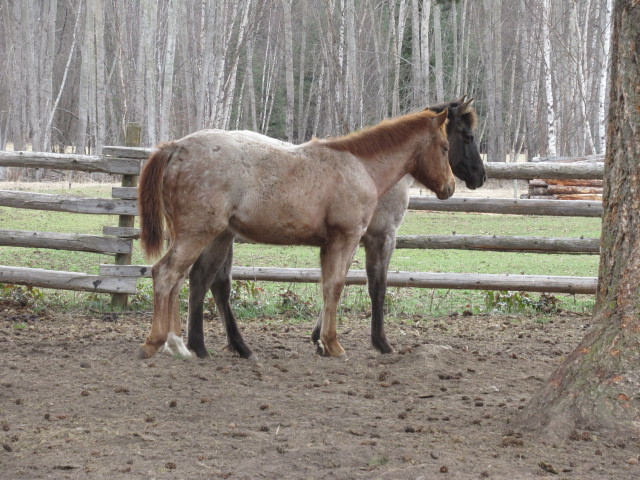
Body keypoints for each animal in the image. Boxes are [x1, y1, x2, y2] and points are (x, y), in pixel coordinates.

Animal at [139, 107, 456, 358]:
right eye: (445, 147)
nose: (450, 187)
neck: (360, 166)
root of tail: (176, 147)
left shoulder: (331, 244)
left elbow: (327, 287)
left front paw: (323, 343)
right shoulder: (348, 238)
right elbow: (336, 286)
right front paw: (334, 344)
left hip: (200, 235)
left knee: (182, 279)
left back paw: (181, 346)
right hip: (198, 234)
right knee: (166, 273)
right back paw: (157, 343)